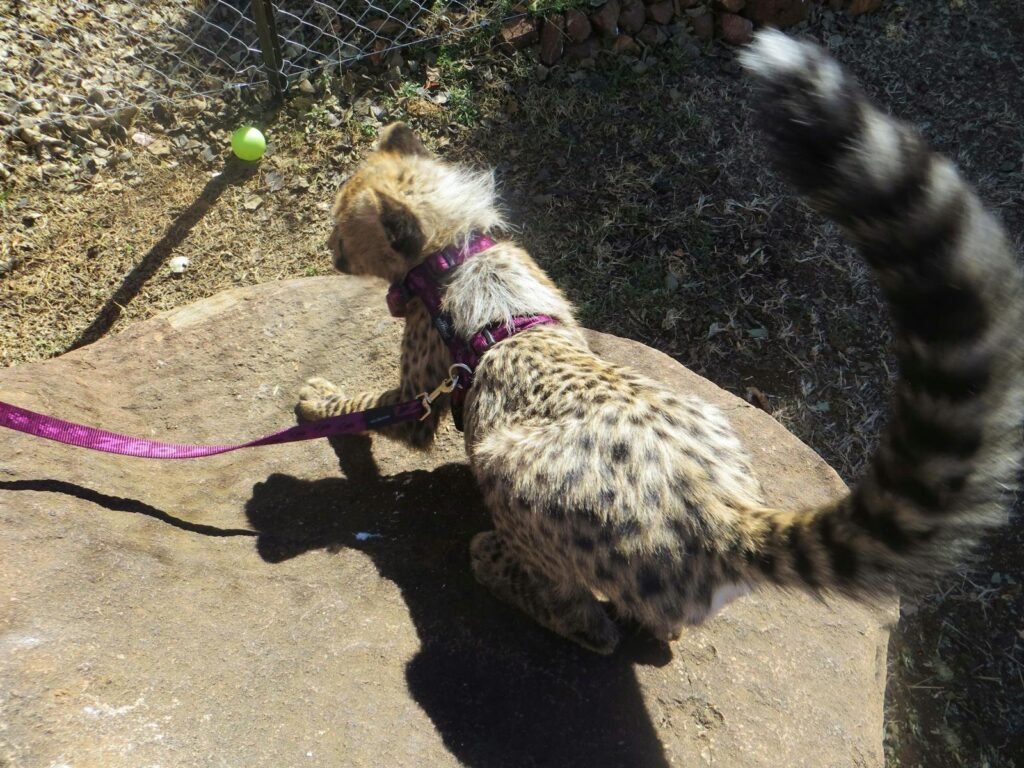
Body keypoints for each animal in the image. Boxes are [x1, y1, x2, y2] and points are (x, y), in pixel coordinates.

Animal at [296, 30, 1024, 655]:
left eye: (339, 225)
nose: (327, 249)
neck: (457, 247)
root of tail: (726, 517)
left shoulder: (422, 396)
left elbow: (372, 409)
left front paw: (314, 400)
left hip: (509, 470)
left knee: (590, 624)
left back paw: (496, 563)